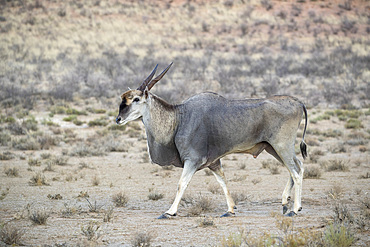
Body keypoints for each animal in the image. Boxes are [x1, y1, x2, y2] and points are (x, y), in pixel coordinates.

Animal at [117, 62, 308, 219]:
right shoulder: (214, 163)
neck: (179, 117)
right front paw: (230, 209)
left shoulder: (192, 160)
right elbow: (223, 181)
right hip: (273, 148)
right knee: (297, 166)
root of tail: (298, 102)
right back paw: (285, 203)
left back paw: (294, 209)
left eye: (136, 99)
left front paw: (170, 211)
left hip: (281, 147)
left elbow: (181, 183)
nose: (118, 119)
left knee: (296, 171)